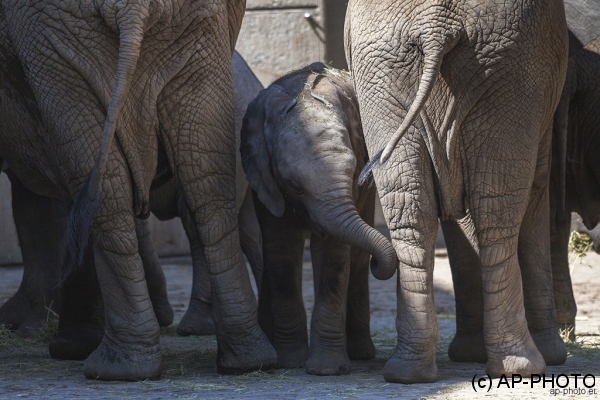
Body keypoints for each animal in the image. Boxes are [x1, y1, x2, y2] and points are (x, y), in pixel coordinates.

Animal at [240, 63, 397, 376]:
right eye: (295, 186)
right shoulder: (267, 181)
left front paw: (327, 370)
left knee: (357, 259)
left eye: (353, 171)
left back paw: (360, 354)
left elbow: (334, 258)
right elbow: (280, 254)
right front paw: (290, 362)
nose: (380, 264)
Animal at [345, 0, 568, 383]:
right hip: (510, 68)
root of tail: (435, 23)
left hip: (391, 69)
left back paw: (410, 372)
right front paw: (552, 356)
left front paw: (470, 355)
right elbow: (537, 186)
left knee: (412, 209)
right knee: (498, 213)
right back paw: (525, 366)